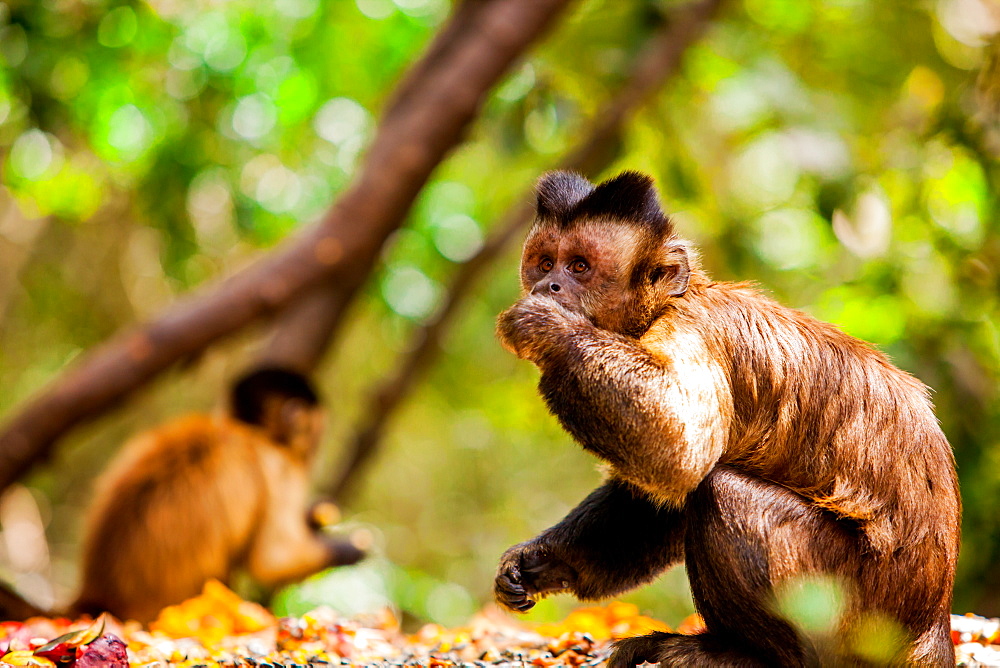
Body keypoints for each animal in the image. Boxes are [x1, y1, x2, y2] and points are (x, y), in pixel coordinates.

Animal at [72, 368, 366, 624]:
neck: (250, 432)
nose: (318, 444)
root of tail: (101, 596)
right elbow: (272, 559)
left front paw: (316, 515)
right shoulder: (275, 464)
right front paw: (353, 548)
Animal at [492, 171, 960, 668]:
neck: (667, 304)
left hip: (863, 615)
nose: (548, 287)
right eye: (545, 264)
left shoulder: (694, 328)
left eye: (579, 267)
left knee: (720, 490)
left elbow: (680, 451)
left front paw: (547, 329)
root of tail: (931, 626)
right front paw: (539, 563)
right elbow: (656, 492)